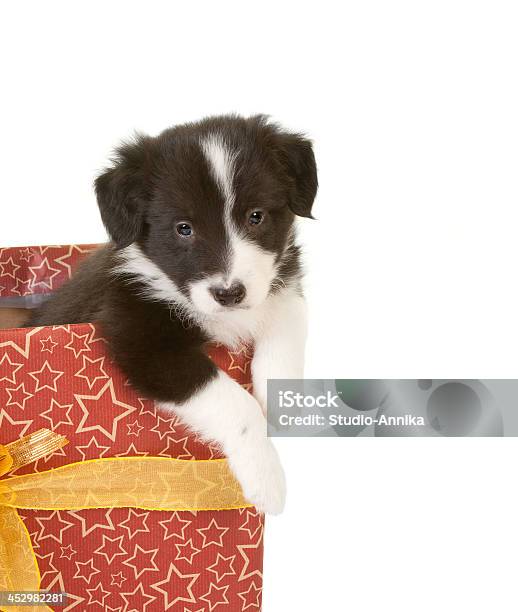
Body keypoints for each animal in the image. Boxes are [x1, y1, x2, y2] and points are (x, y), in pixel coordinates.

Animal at [30, 113, 320, 512]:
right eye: (184, 228)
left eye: (256, 216)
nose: (229, 293)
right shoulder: (143, 341)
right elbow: (235, 401)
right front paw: (266, 477)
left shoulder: (282, 286)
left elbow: (286, 323)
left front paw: (283, 405)